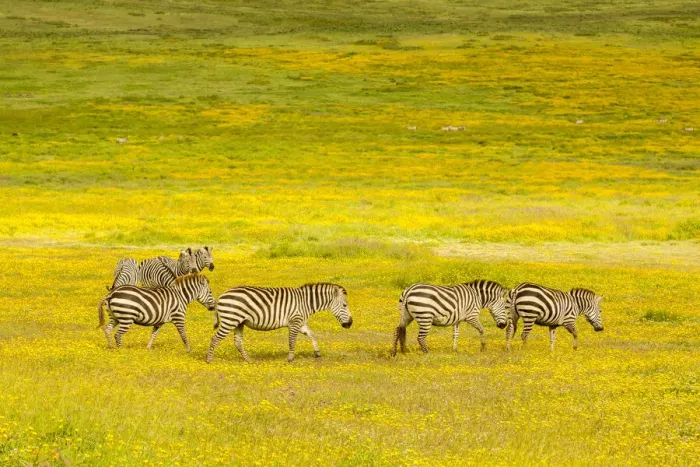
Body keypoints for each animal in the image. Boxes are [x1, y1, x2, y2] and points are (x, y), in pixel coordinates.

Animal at [206, 283, 352, 363]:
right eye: (345, 305)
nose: (350, 323)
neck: (305, 302)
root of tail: (221, 296)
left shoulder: (301, 323)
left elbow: (312, 335)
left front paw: (317, 353)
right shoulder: (294, 321)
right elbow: (292, 341)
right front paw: (290, 359)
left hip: (238, 323)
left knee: (237, 342)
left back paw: (248, 360)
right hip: (229, 321)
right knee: (214, 338)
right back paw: (209, 360)